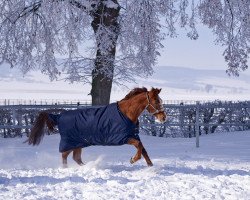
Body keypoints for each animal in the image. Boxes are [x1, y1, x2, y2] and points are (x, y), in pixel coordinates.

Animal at [26, 87, 166, 167]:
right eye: (156, 101)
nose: (164, 118)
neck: (126, 113)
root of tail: (58, 117)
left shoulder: (133, 135)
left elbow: (143, 149)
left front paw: (150, 166)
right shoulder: (124, 137)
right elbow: (139, 146)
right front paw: (133, 160)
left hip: (79, 143)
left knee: (76, 158)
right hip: (70, 142)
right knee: (64, 156)